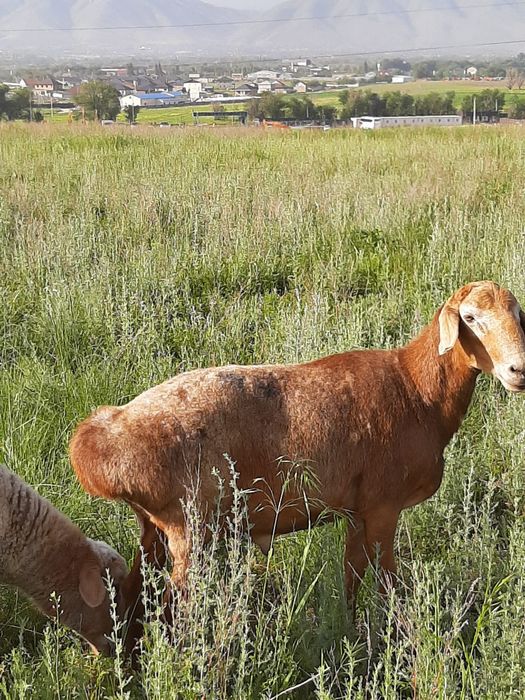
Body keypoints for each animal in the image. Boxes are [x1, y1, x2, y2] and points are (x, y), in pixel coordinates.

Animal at [69, 281, 525, 646]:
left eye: (518, 313)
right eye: (470, 318)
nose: (517, 369)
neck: (416, 390)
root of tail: (101, 436)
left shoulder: (357, 509)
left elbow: (352, 576)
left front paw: (349, 629)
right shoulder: (384, 506)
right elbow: (388, 584)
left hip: (155, 529)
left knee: (132, 597)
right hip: (188, 527)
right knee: (171, 609)